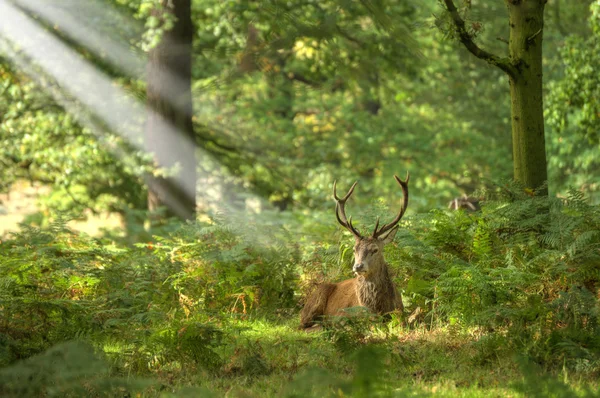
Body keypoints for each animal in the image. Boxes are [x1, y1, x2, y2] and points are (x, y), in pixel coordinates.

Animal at [300, 173, 408, 328]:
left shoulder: (401, 312)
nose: (358, 266)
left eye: (375, 249)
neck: (378, 308)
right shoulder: (342, 315)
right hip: (316, 297)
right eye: (354, 248)